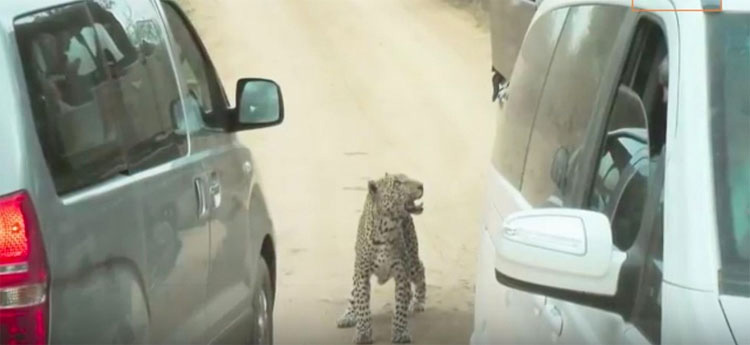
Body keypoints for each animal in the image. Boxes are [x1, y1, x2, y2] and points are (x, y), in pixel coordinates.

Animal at [338, 172, 426, 342]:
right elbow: (362, 304)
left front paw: (400, 332)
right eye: (397, 183)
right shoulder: (362, 273)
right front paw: (363, 334)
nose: (421, 185)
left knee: (420, 269)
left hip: (411, 261)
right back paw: (348, 316)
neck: (386, 229)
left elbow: (400, 307)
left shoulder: (402, 272)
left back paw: (418, 302)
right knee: (353, 295)